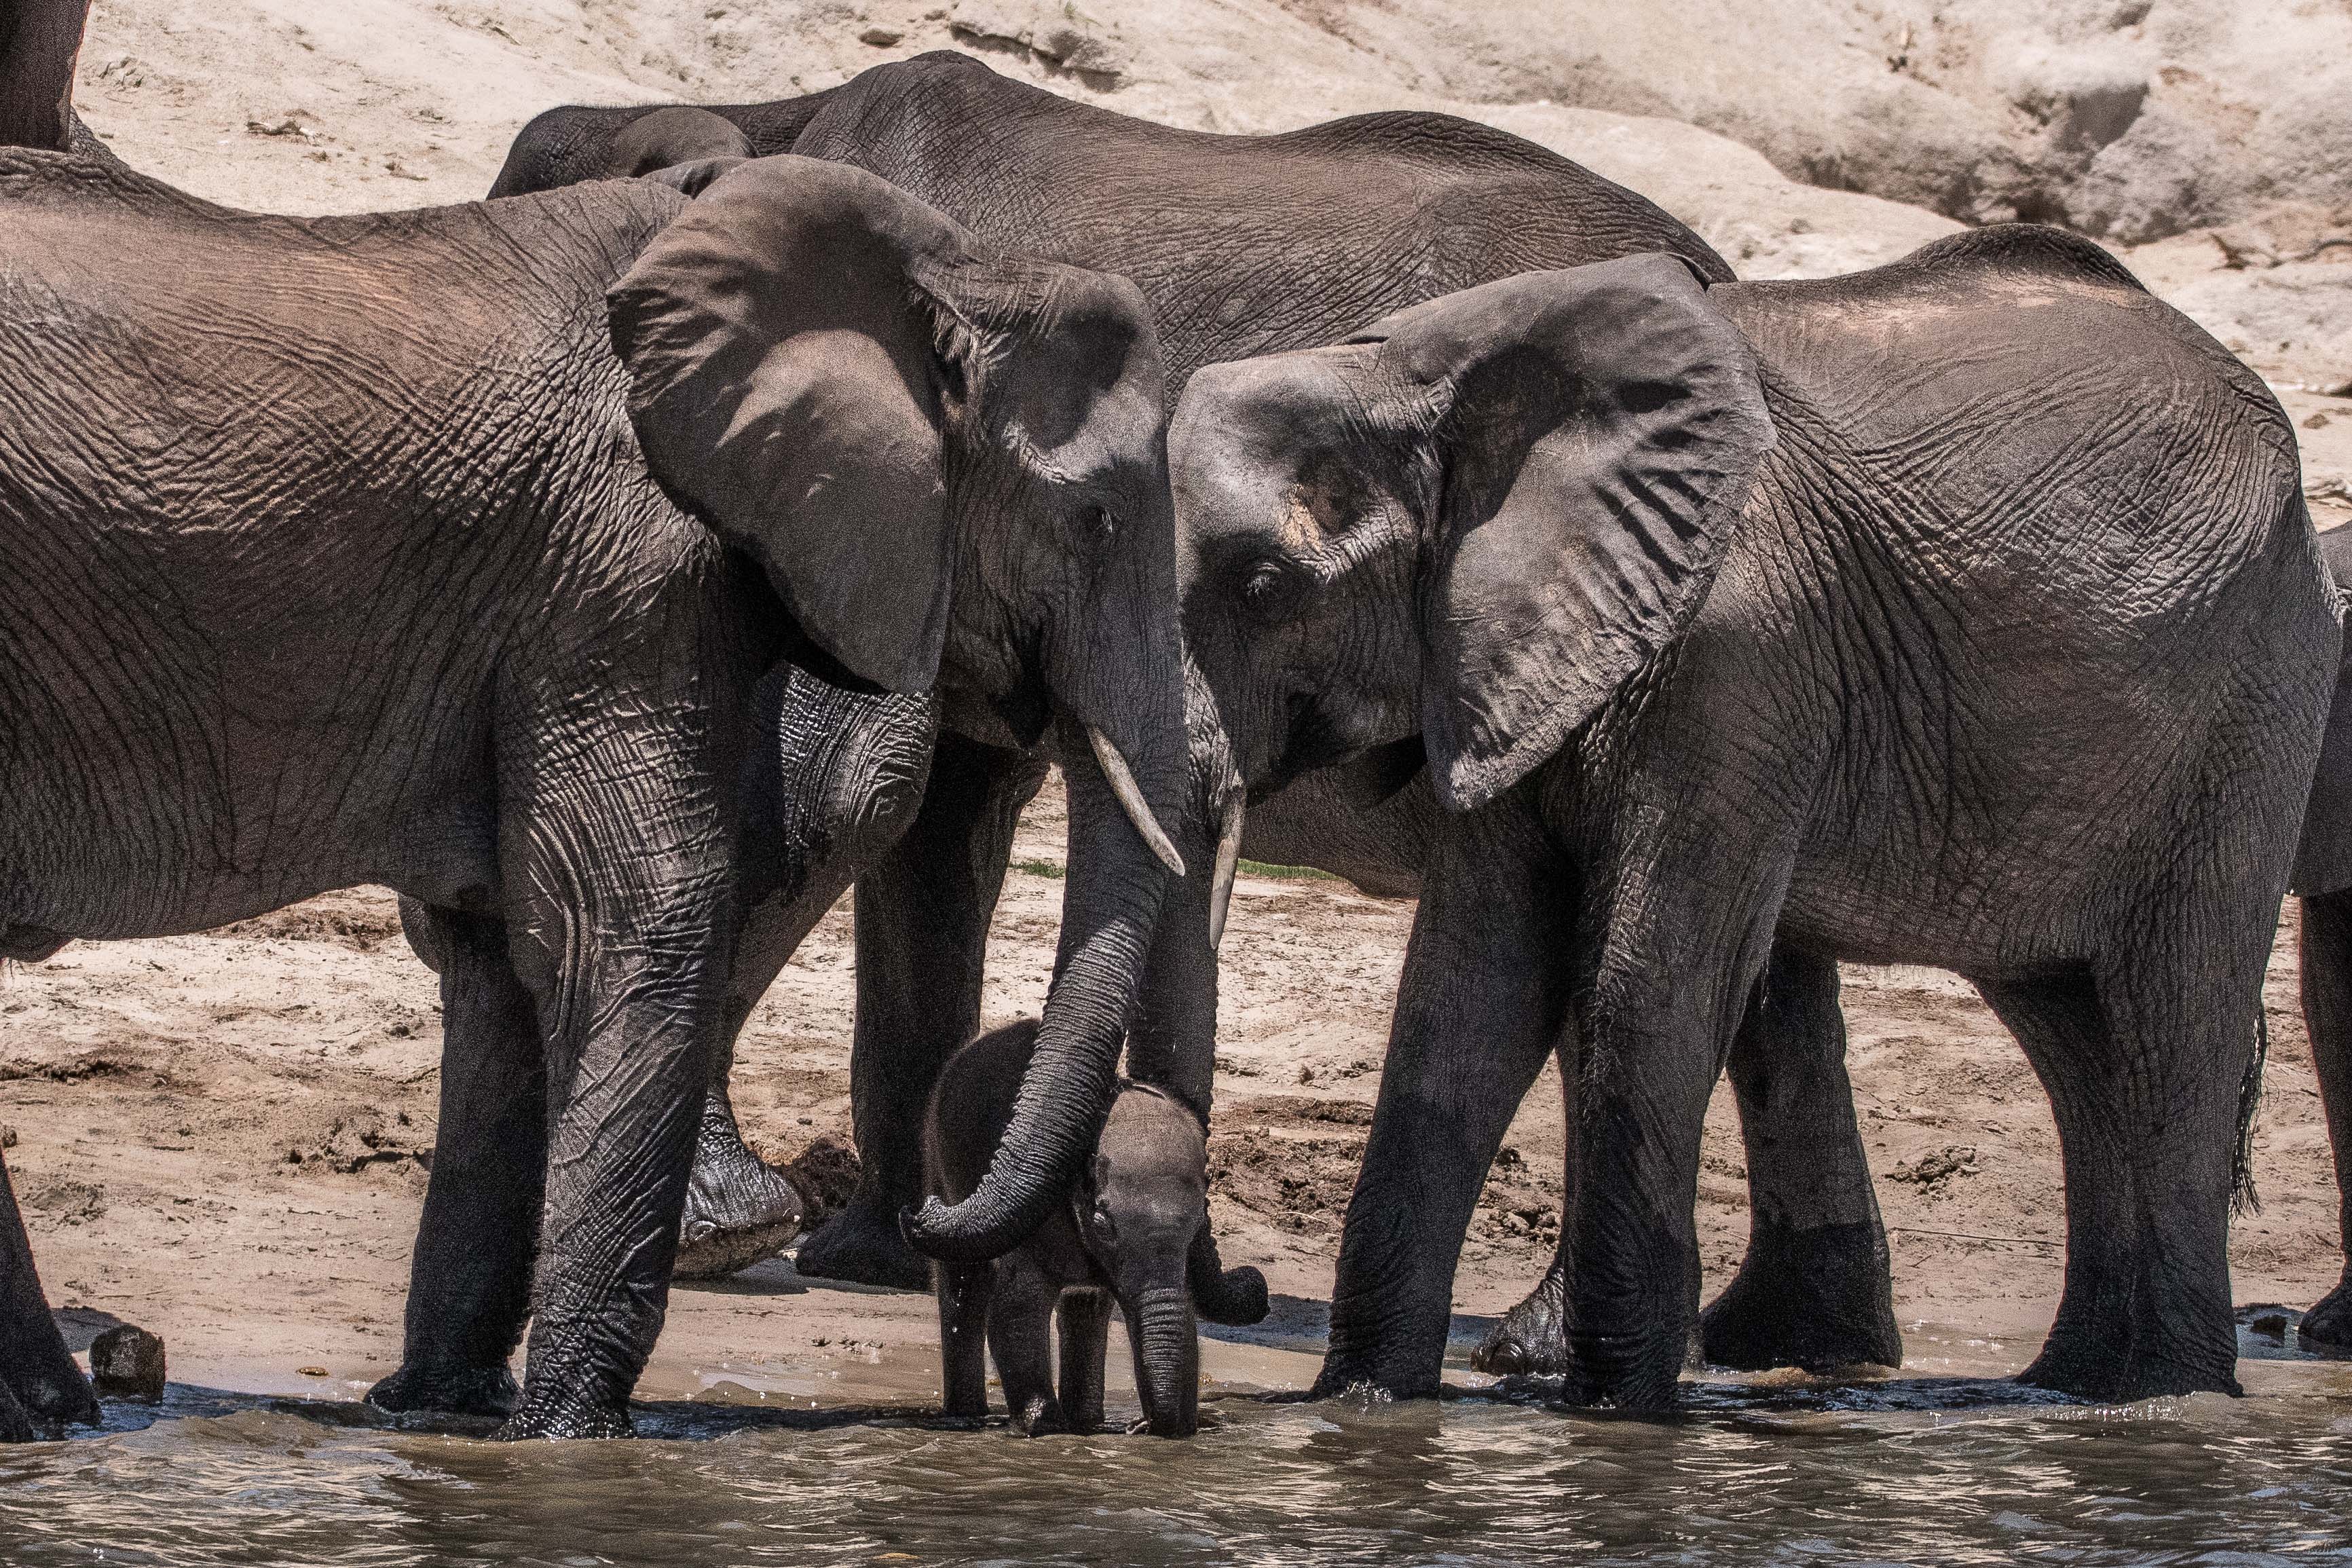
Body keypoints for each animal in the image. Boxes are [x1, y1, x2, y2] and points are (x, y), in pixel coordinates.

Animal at [0, 5, 1192, 1435]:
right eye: (1098, 519)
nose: (935, 1214)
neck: (942, 265)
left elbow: (507, 961)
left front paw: (447, 1420)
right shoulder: (623, 567)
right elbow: (636, 915)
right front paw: (576, 1440)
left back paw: (52, 1414)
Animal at [926, 1018, 1259, 1437]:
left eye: (1199, 1225)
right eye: (1103, 1225)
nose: (1141, 1425)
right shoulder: (1039, 1210)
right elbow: (1016, 1308)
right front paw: (1044, 1429)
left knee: (1084, 1308)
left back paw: (1086, 1423)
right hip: (939, 1156)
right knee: (963, 1279)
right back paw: (968, 1417)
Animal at [1164, 233, 2338, 1409]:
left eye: (1263, 585)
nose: (1249, 1291)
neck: (1408, 377)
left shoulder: (1738, 656)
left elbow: (1650, 977)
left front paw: (1616, 1417)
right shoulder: (1499, 652)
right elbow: (1472, 982)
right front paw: (1365, 1408)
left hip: (2250, 704)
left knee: (2171, 1016)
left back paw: (2166, 1398)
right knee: (2073, 1031)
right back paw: (2069, 1388)